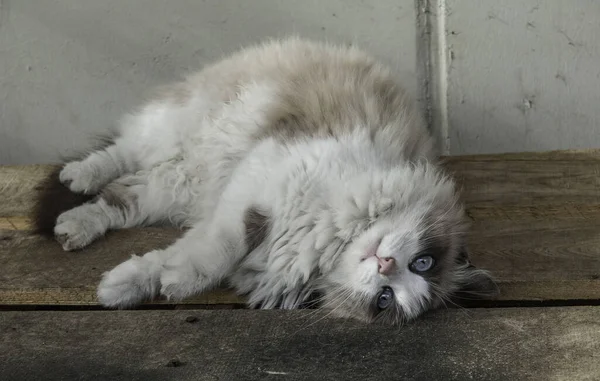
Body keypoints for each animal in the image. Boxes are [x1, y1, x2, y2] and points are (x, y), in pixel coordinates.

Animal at [31, 36, 496, 324]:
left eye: (386, 298)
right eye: (423, 262)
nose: (386, 264)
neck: (327, 241)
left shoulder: (247, 224)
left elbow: (171, 258)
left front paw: (125, 288)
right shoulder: (255, 191)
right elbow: (219, 251)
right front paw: (178, 281)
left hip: (172, 184)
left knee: (117, 202)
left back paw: (72, 229)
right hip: (177, 129)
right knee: (118, 154)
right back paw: (77, 177)